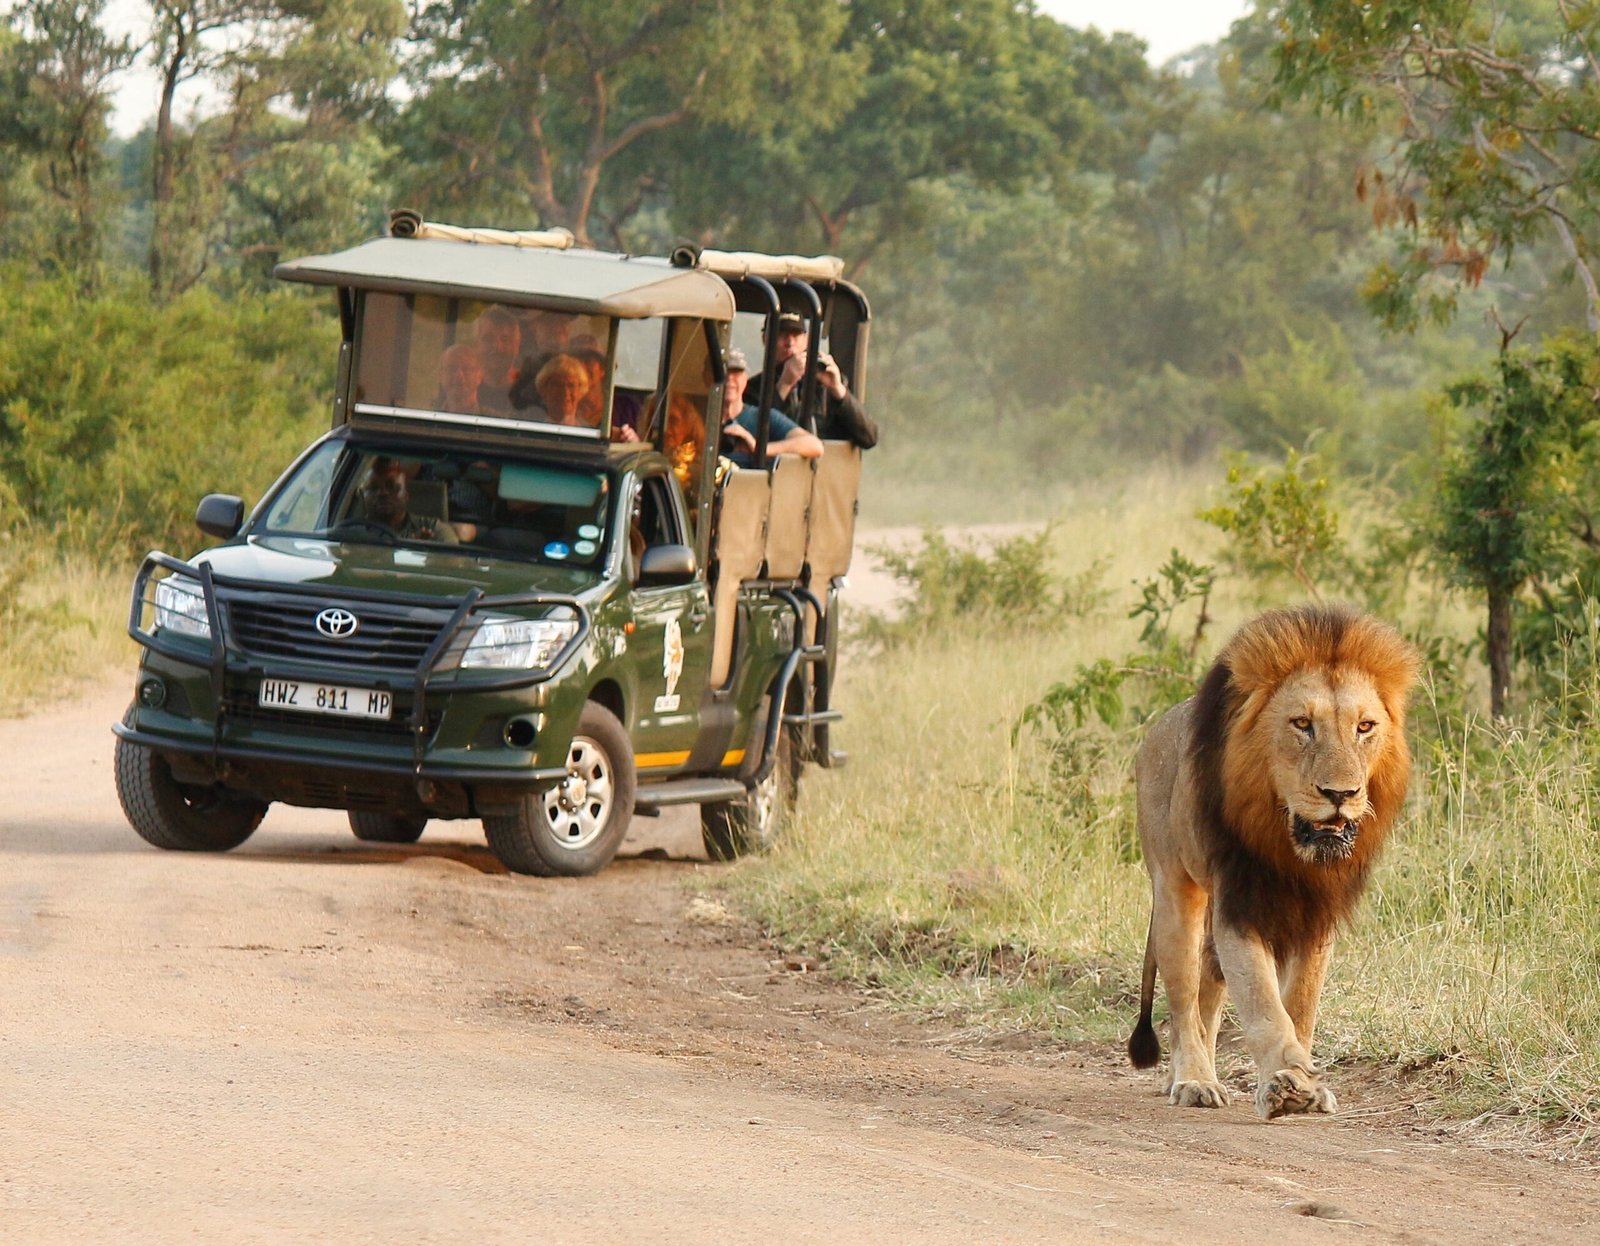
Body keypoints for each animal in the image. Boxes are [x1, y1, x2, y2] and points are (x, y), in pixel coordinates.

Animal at [1127, 603, 1420, 1120]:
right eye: (1302, 724)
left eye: (1364, 727)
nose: (1341, 793)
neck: (1290, 849)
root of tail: (1158, 726)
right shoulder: (1240, 904)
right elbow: (1262, 1002)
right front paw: (1286, 1081)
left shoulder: (1317, 914)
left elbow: (1300, 1003)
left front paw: (1306, 1083)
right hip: (1176, 893)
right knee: (1182, 999)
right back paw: (1193, 1080)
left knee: (1207, 997)